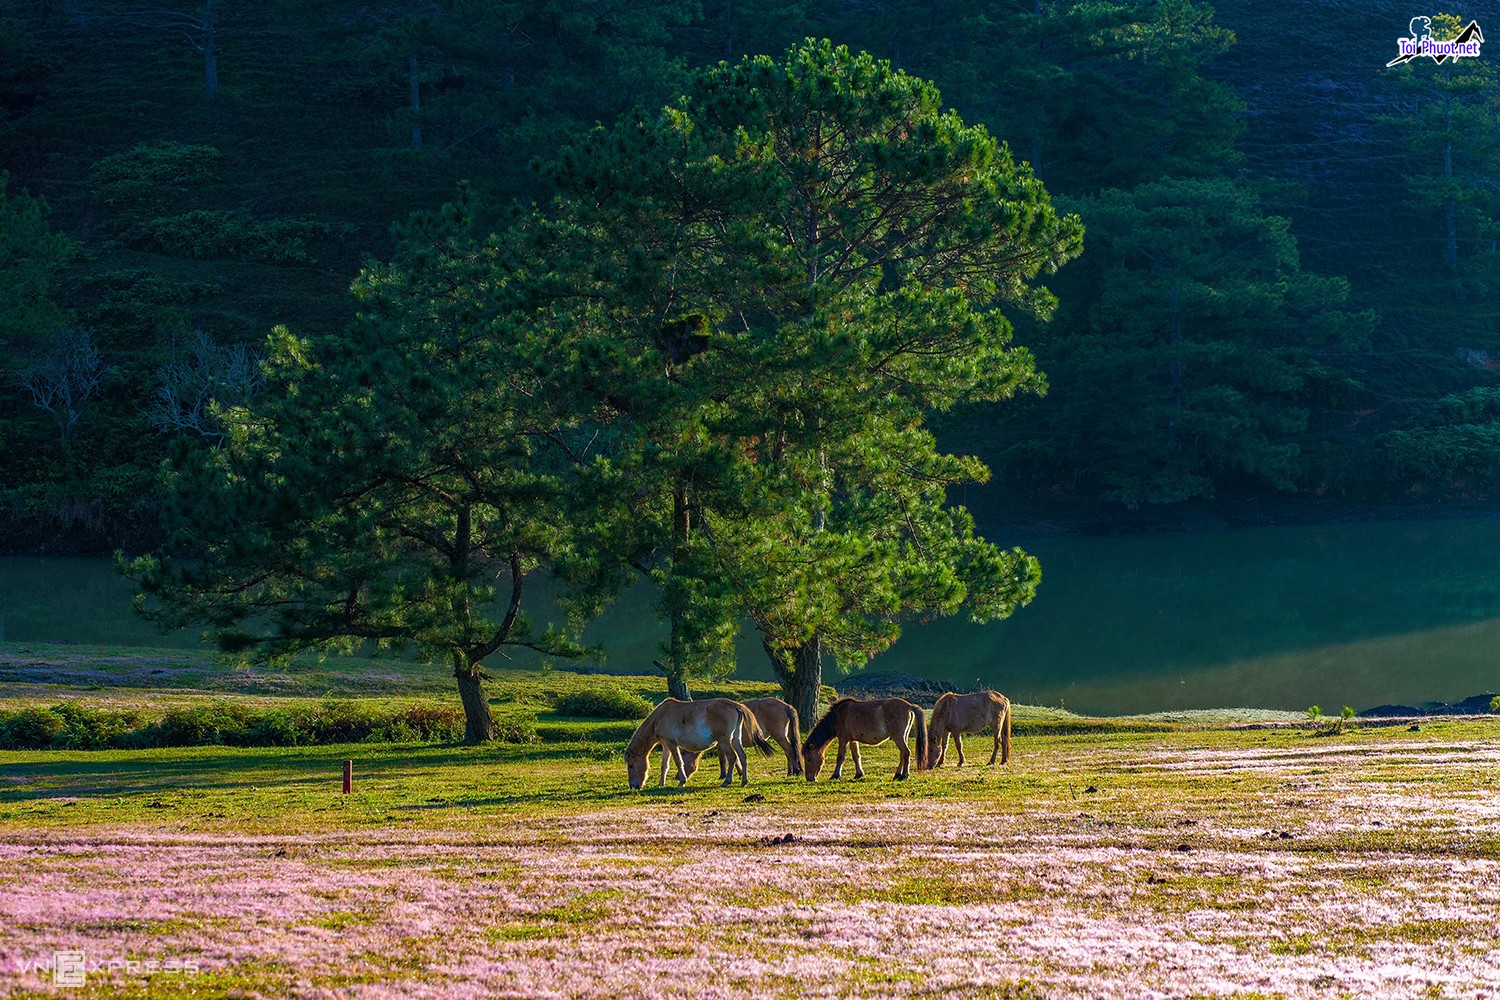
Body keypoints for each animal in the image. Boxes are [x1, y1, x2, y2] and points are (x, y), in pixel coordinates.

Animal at [621, 701, 774, 791]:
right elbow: (665, 765)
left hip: (724, 741)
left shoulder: (672, 744)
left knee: (732, 758)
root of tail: (736, 706)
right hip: (735, 739)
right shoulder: (666, 744)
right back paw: (744, 781)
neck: (660, 716)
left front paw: (682, 781)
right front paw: (661, 783)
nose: (633, 786)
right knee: (742, 757)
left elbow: (678, 762)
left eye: (631, 766)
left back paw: (727, 781)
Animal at [675, 695, 804, 779]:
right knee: (788, 752)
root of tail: (786, 706)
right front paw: (739, 773)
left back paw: (796, 771)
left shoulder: (721, 743)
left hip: (779, 735)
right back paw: (790, 772)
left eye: (682, 754)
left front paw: (724, 776)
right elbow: (735, 758)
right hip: (783, 735)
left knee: (790, 750)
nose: (677, 776)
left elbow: (724, 759)